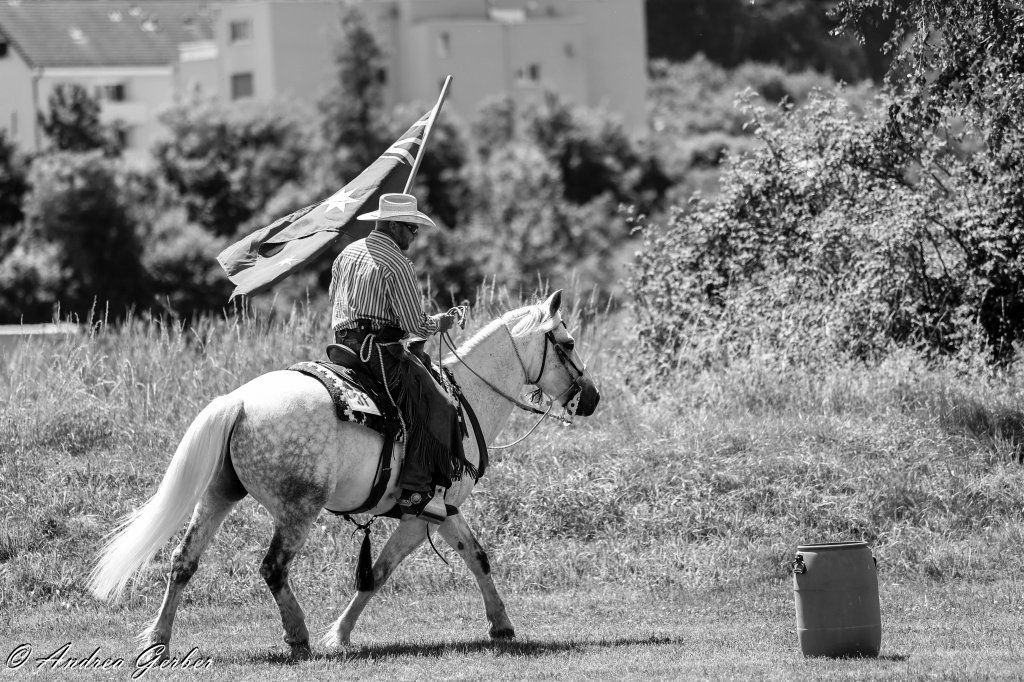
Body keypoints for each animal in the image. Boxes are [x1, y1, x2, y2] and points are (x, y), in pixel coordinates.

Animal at [88, 290, 600, 660]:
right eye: (568, 343)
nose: (592, 398)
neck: (465, 397)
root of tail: (239, 402)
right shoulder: (423, 513)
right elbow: (380, 572)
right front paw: (338, 634)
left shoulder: (444, 509)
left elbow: (475, 556)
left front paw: (501, 623)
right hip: (298, 509)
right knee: (273, 568)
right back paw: (298, 635)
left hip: (218, 495)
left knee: (183, 561)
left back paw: (158, 639)